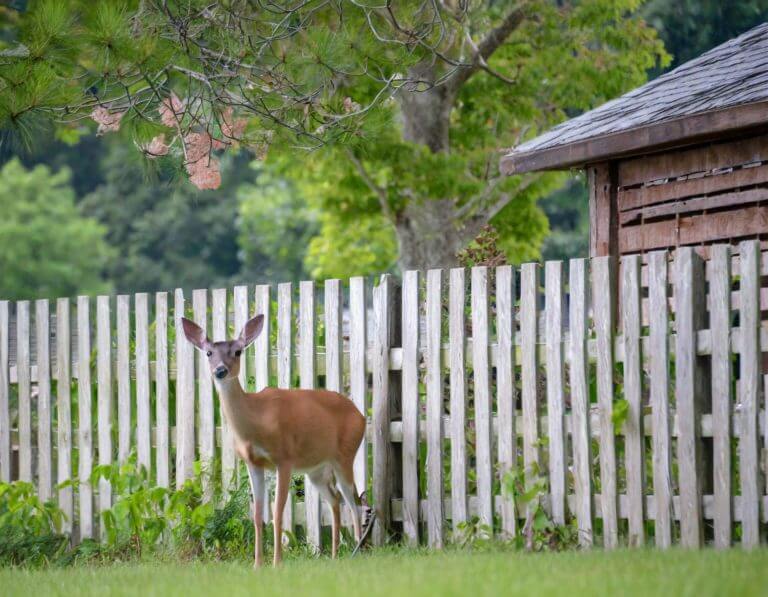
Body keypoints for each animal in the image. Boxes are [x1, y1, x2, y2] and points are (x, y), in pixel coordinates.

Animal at [183, 314, 368, 564]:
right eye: (208, 353)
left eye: (238, 351)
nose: (220, 370)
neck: (257, 421)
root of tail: (361, 415)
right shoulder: (253, 463)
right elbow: (257, 514)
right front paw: (257, 564)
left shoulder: (285, 458)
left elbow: (278, 512)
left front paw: (277, 562)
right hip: (316, 470)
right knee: (335, 499)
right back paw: (334, 555)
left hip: (345, 455)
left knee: (354, 501)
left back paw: (358, 551)